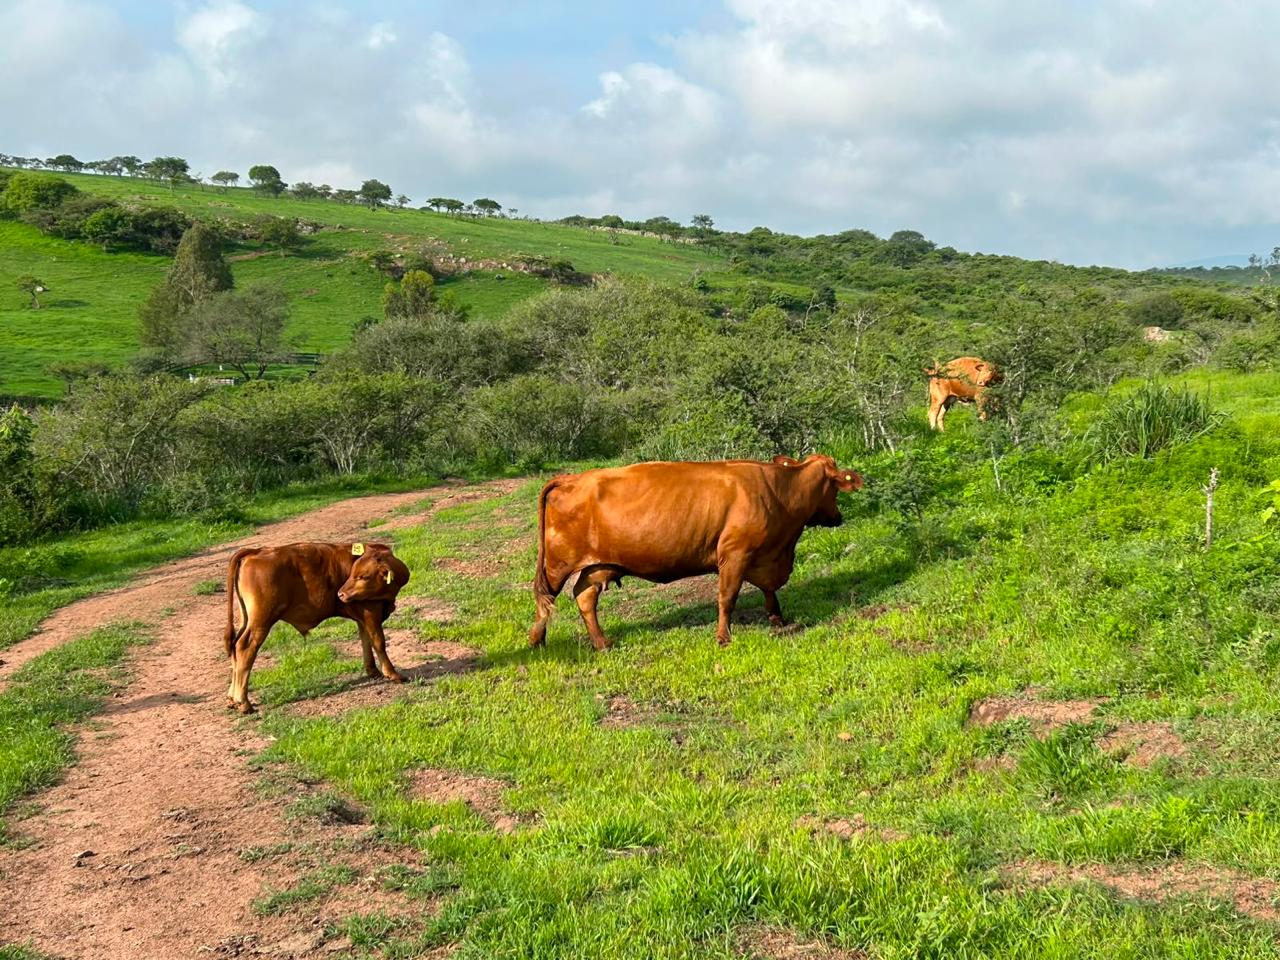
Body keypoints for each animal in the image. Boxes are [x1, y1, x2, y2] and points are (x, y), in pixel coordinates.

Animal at [223, 541, 411, 714]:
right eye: (355, 574)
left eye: (363, 576)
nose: (341, 594)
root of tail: (257, 551)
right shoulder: (371, 611)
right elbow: (378, 642)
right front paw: (393, 673)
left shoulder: (362, 616)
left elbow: (366, 640)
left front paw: (373, 671)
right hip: (261, 622)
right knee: (244, 648)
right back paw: (243, 702)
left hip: (247, 619)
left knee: (235, 647)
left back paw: (232, 698)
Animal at [528, 454, 863, 651]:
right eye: (835, 487)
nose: (838, 517)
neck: (778, 491)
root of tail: (572, 478)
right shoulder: (735, 554)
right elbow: (727, 597)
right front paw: (723, 637)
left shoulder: (764, 556)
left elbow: (769, 591)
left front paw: (777, 619)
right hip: (558, 563)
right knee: (545, 599)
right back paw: (537, 639)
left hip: (596, 565)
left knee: (584, 596)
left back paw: (602, 642)